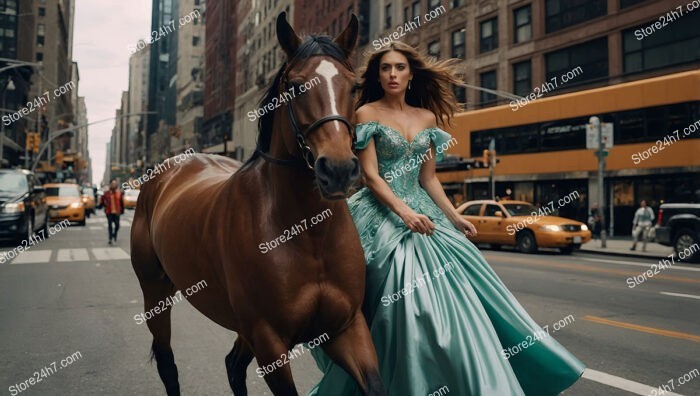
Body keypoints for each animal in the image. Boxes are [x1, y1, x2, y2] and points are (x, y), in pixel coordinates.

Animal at [129, 12, 386, 396]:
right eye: (295, 86)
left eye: (354, 86)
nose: (338, 169)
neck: (308, 232)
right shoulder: (269, 339)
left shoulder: (346, 327)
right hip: (155, 294)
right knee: (168, 364)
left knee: (232, 365)